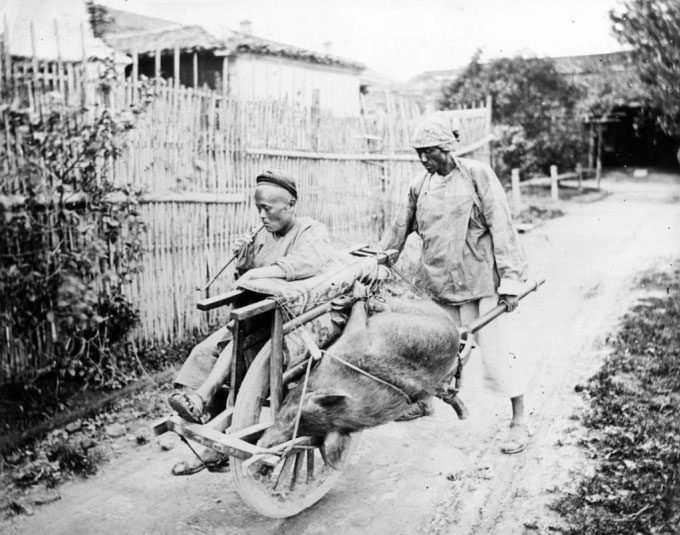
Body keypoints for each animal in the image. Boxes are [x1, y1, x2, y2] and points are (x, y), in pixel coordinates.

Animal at [258, 288, 460, 468]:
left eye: (296, 421)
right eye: (290, 413)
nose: (263, 445)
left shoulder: (353, 338)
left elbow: (356, 318)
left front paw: (357, 293)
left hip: (406, 305)